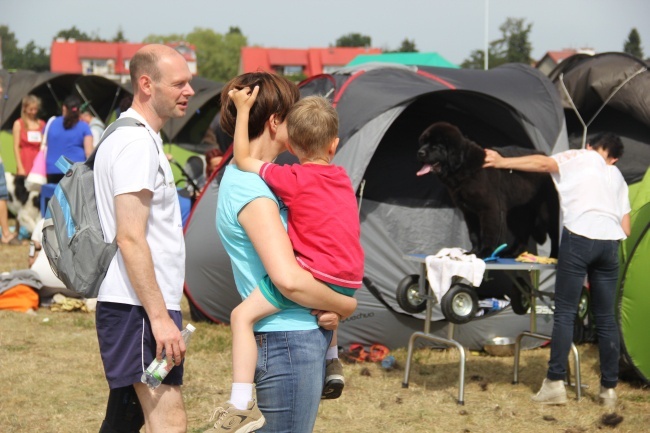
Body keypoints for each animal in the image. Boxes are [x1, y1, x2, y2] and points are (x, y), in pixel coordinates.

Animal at [416, 120, 556, 258]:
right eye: (424, 143)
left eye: (435, 145)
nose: (419, 153)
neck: (463, 167)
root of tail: (546, 156)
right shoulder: (469, 212)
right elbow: (474, 234)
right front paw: (472, 252)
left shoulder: (490, 208)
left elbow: (488, 232)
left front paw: (485, 252)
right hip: (517, 211)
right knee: (522, 233)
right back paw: (511, 253)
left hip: (546, 211)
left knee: (554, 234)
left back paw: (553, 257)